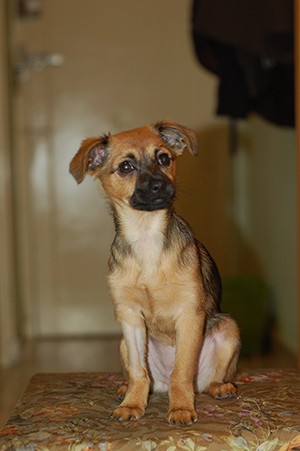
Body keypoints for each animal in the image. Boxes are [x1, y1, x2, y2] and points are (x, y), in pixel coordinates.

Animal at [69, 120, 240, 428]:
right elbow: (139, 372)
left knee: (206, 381)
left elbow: (181, 372)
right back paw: (127, 389)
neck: (146, 236)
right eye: (126, 167)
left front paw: (181, 408)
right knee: (144, 377)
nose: (160, 185)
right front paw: (132, 404)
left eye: (164, 159)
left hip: (228, 328)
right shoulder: (130, 316)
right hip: (124, 344)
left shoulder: (190, 314)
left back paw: (221, 388)